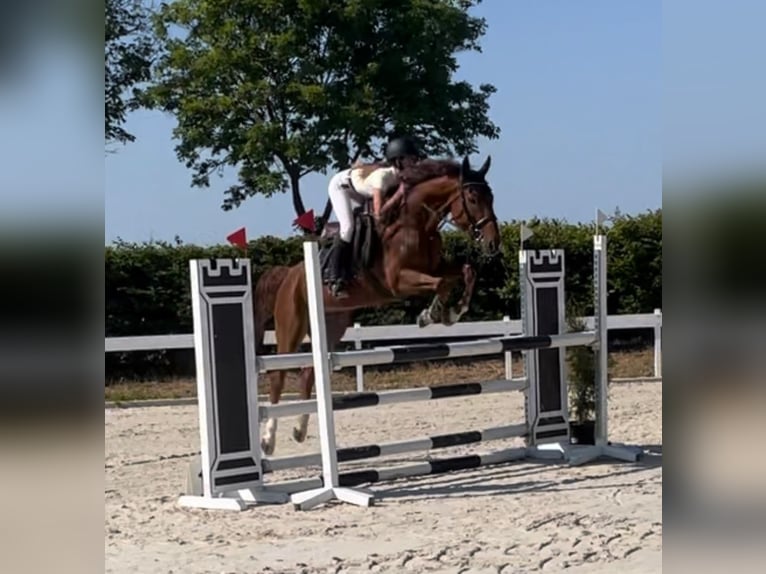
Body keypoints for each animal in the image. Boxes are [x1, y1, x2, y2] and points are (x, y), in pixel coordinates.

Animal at [255, 155, 500, 456]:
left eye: (491, 196)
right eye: (473, 198)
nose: (493, 242)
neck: (417, 223)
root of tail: (288, 274)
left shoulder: (436, 267)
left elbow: (465, 272)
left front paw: (453, 311)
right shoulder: (399, 282)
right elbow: (442, 283)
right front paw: (431, 314)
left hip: (332, 326)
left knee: (308, 373)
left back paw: (300, 430)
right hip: (291, 325)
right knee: (278, 375)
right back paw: (268, 440)